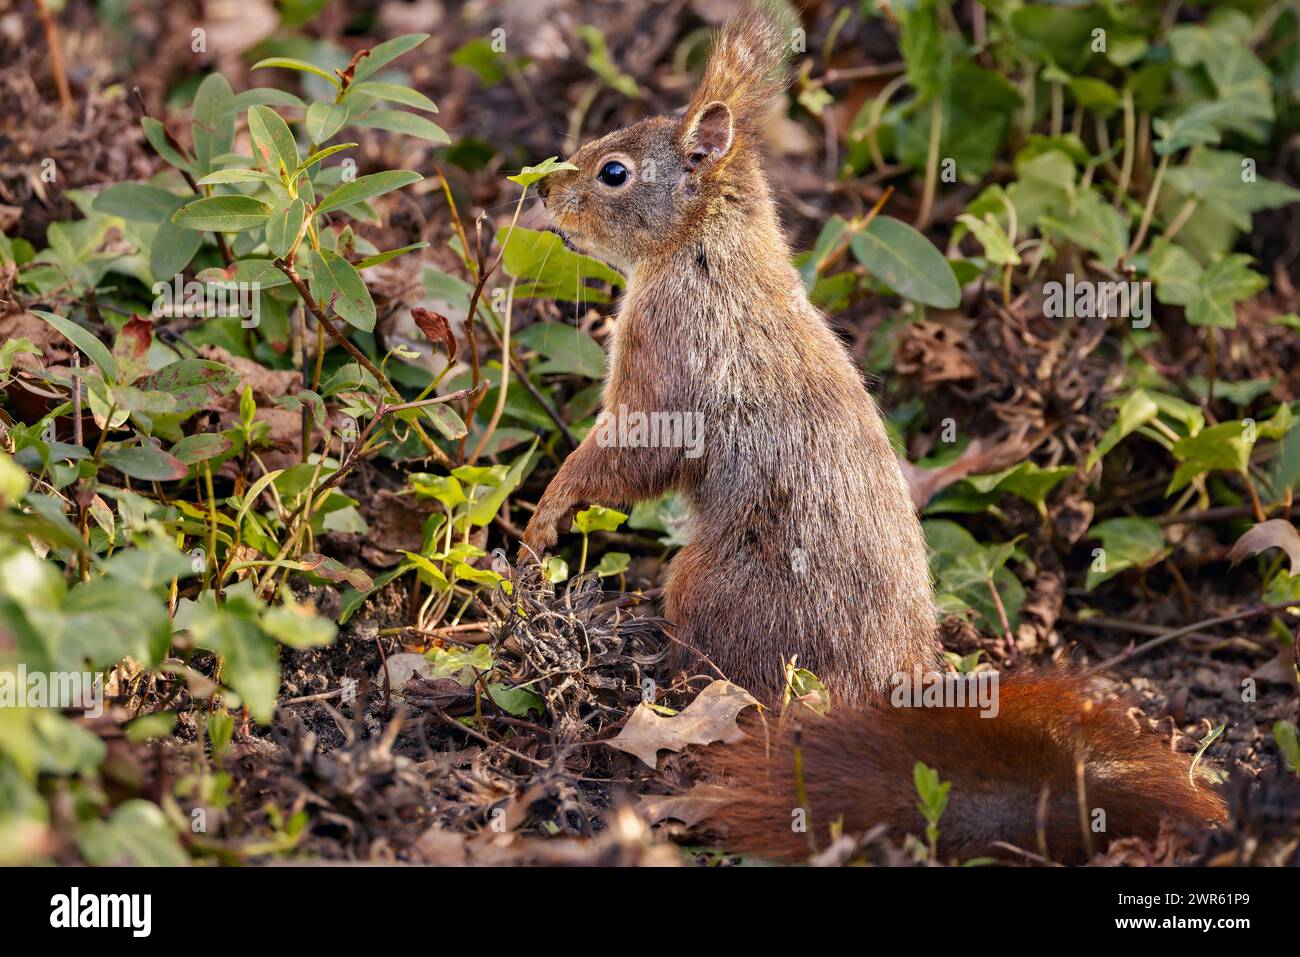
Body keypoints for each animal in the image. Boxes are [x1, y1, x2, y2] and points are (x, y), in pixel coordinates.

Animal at [519, 7, 1226, 861]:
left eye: (615, 172)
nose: (546, 189)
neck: (704, 247)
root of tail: (890, 683)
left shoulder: (671, 355)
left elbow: (628, 454)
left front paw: (542, 520)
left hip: (717, 589)